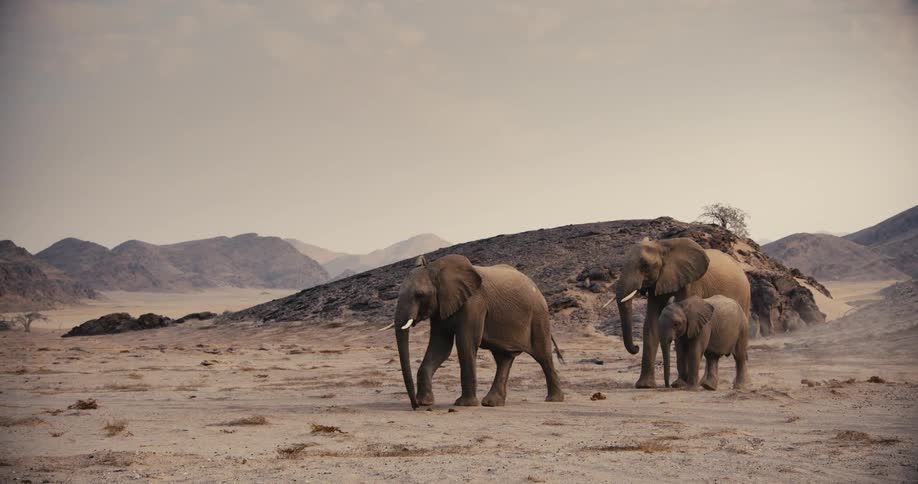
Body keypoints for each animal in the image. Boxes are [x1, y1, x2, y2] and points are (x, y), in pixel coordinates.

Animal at [383, 254, 564, 409]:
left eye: (419, 294)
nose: (414, 406)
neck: (438, 268)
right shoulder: (441, 307)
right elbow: (440, 347)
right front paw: (425, 402)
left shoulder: (474, 303)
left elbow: (465, 343)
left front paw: (464, 404)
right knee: (503, 359)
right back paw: (492, 403)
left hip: (539, 317)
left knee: (543, 356)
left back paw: (554, 399)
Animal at [609, 237, 751, 388]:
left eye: (645, 265)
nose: (636, 347)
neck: (663, 246)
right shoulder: (658, 281)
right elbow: (651, 322)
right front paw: (645, 386)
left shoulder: (692, 282)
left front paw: (679, 384)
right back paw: (706, 385)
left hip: (744, 297)